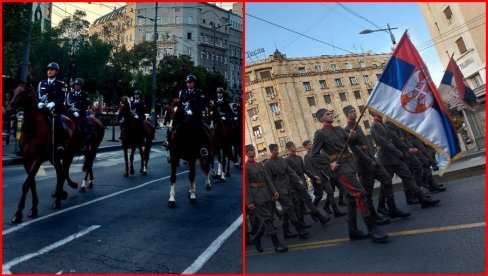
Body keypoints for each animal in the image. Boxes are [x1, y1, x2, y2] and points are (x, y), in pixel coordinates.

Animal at [4, 82, 77, 224]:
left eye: (24, 92)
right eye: (14, 91)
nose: (8, 109)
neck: (32, 129)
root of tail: (69, 120)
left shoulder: (38, 159)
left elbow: (26, 184)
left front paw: (18, 214)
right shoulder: (27, 160)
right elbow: (32, 183)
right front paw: (33, 209)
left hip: (66, 154)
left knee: (62, 172)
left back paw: (59, 198)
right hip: (54, 157)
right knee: (60, 172)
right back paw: (59, 195)